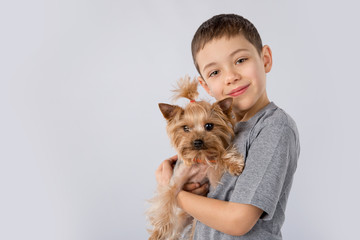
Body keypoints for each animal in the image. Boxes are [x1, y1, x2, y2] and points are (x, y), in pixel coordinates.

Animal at [146, 76, 245, 239]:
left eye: (209, 126)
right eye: (185, 128)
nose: (197, 142)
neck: (199, 158)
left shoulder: (213, 177)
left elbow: (219, 154)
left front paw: (234, 164)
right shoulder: (174, 183)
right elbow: (165, 204)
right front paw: (159, 231)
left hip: (194, 221)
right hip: (179, 220)